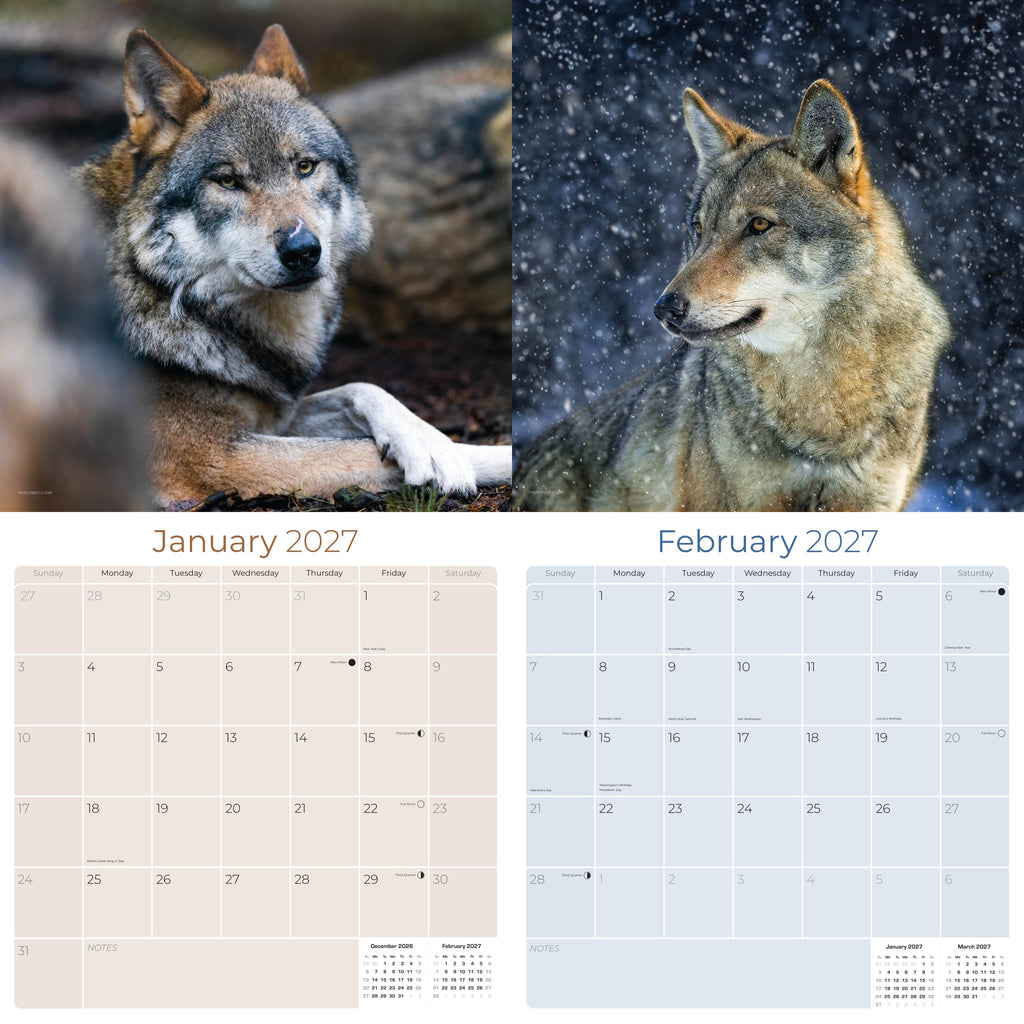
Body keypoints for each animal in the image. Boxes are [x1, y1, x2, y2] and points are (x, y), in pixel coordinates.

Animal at [76, 25, 511, 507]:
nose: (303, 250)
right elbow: (358, 450)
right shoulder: (209, 459)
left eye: (304, 166)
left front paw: (428, 442)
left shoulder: (272, 417)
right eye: (228, 180)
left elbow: (362, 388)